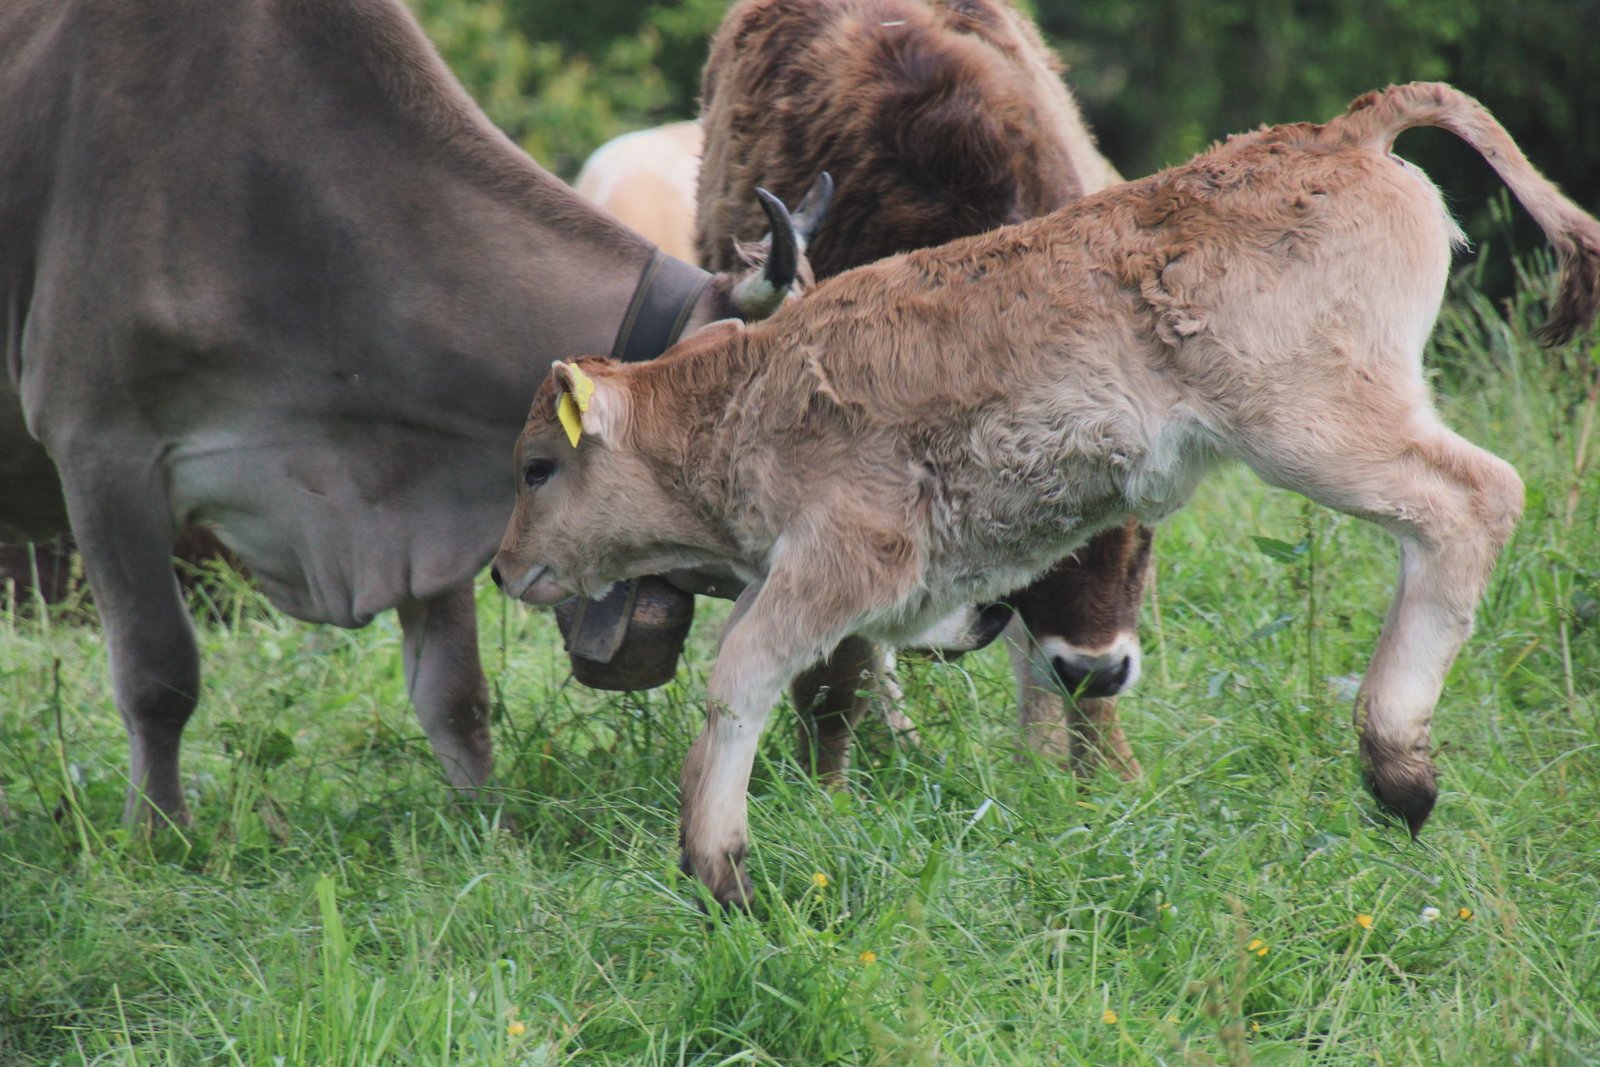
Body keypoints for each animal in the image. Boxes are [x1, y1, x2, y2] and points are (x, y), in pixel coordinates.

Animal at [693, 0, 1144, 781]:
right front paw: (825, 785)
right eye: (1053, 520)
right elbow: (832, 662)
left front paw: (1104, 777)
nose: (1096, 668)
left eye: (1145, 523)